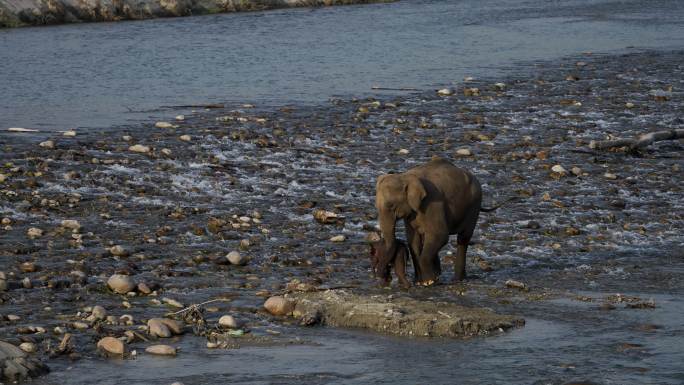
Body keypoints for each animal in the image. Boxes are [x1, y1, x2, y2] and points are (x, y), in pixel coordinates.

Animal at [374, 154, 486, 284]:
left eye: (390, 205)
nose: (385, 277)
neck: (405, 176)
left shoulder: (433, 203)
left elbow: (440, 235)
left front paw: (429, 281)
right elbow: (413, 240)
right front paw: (420, 282)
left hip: (474, 206)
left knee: (463, 239)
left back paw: (457, 279)